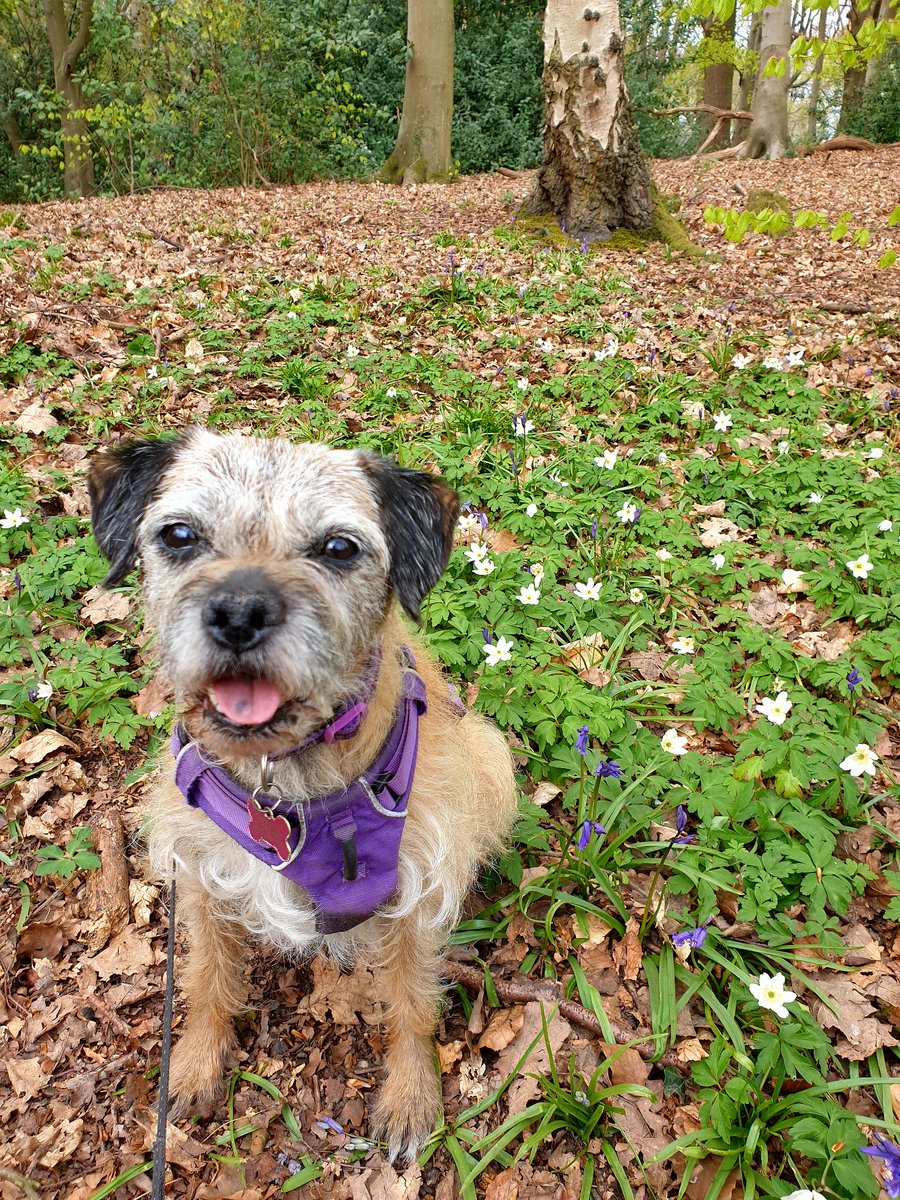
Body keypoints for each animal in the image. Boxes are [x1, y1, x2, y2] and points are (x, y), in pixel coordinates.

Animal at [88, 429, 520, 1161]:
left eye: (338, 548)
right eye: (180, 534)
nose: (238, 612)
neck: (283, 777)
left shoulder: (413, 891)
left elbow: (412, 1000)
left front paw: (411, 1094)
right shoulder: (200, 878)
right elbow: (207, 978)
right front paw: (197, 1061)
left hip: (490, 760)